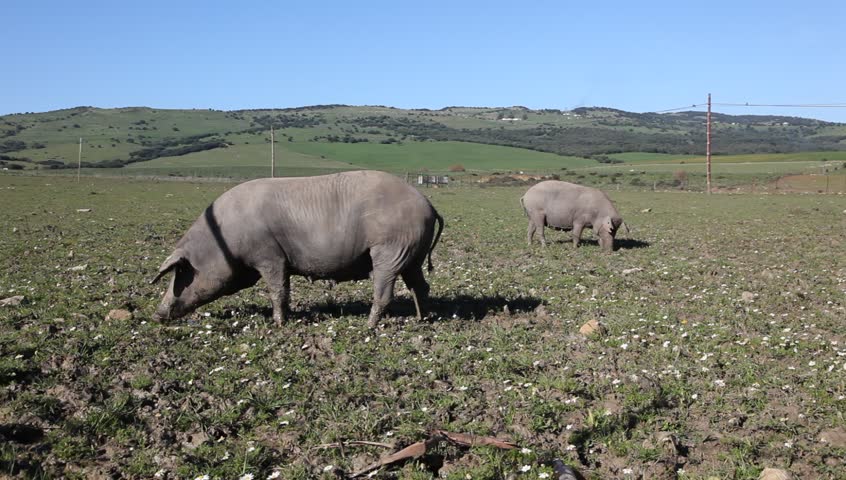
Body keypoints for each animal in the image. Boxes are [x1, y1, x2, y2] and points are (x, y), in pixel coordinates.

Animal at [150, 170, 444, 327]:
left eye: (183, 273)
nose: (157, 314)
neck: (222, 242)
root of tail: (428, 204)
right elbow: (284, 289)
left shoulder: (269, 255)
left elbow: (278, 289)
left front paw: (279, 323)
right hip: (411, 254)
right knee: (420, 286)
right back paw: (422, 319)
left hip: (390, 250)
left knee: (384, 291)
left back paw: (369, 326)